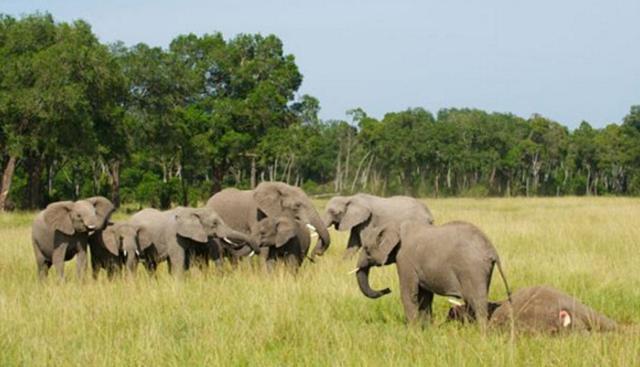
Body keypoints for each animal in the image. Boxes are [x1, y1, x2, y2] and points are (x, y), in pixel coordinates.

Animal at [127, 207, 258, 276]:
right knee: (133, 264)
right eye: (214, 224)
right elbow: (178, 261)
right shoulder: (174, 236)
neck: (194, 211)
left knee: (150, 265)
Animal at [356, 220, 510, 326]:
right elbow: (425, 297)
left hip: (472, 269)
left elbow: (409, 294)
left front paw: (413, 331)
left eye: (367, 249)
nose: (387, 289)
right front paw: (426, 330)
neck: (395, 224)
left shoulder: (405, 261)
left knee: (476, 301)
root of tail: (491, 249)